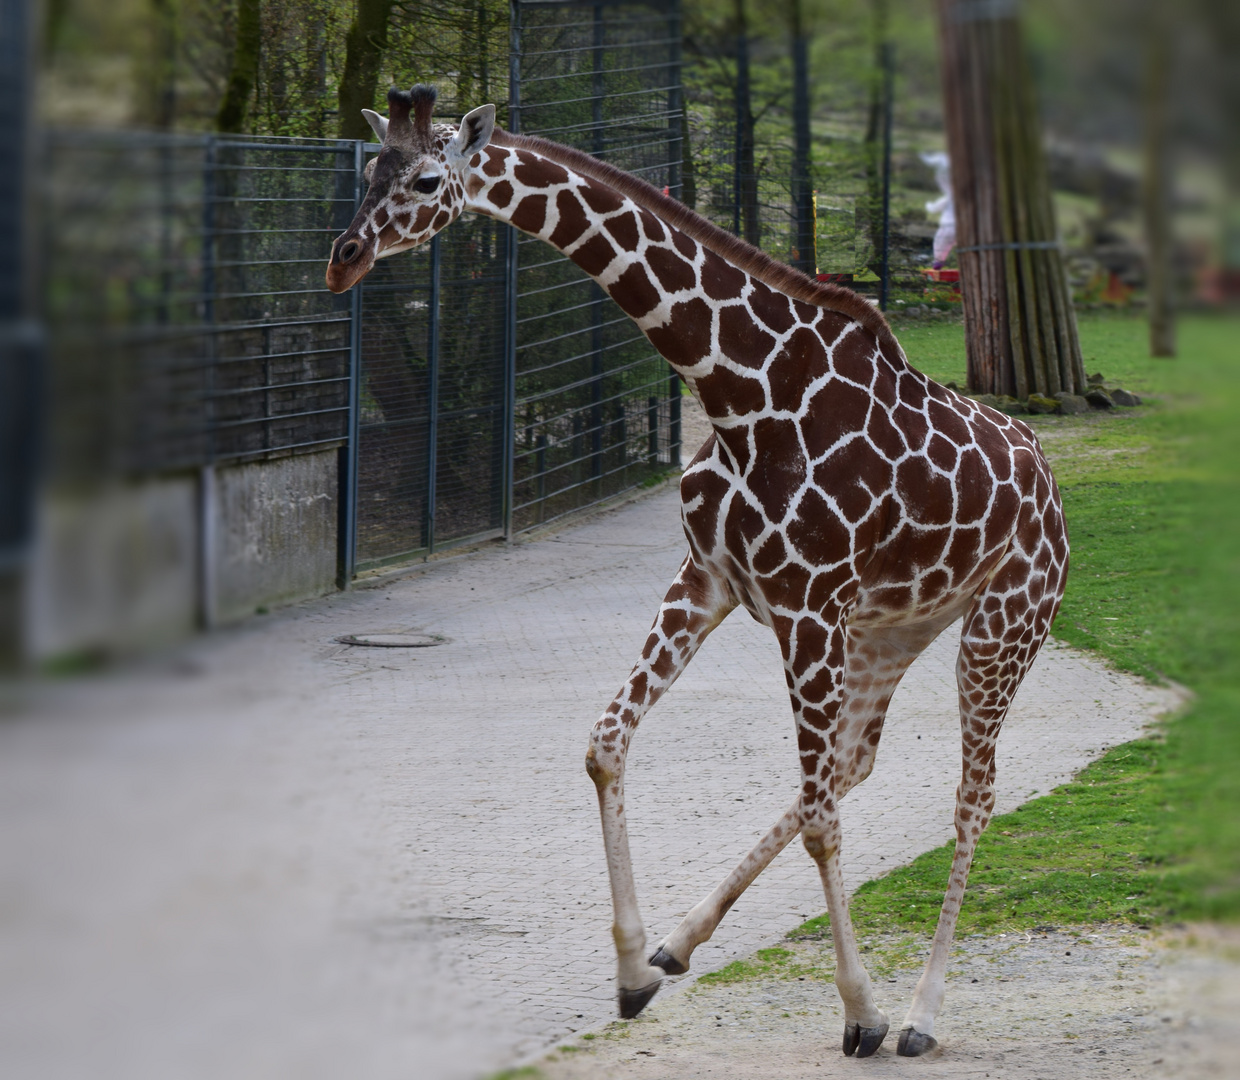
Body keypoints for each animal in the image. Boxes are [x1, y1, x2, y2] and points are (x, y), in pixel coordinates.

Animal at [327, 86, 1066, 1066]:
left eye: (421, 179)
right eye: (368, 167)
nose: (344, 258)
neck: (740, 389)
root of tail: (1050, 481)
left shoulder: (806, 604)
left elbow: (824, 821)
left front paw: (861, 1012)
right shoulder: (711, 581)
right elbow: (607, 742)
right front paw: (633, 970)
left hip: (1001, 628)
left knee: (968, 797)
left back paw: (921, 1015)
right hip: (892, 629)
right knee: (853, 763)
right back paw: (682, 941)